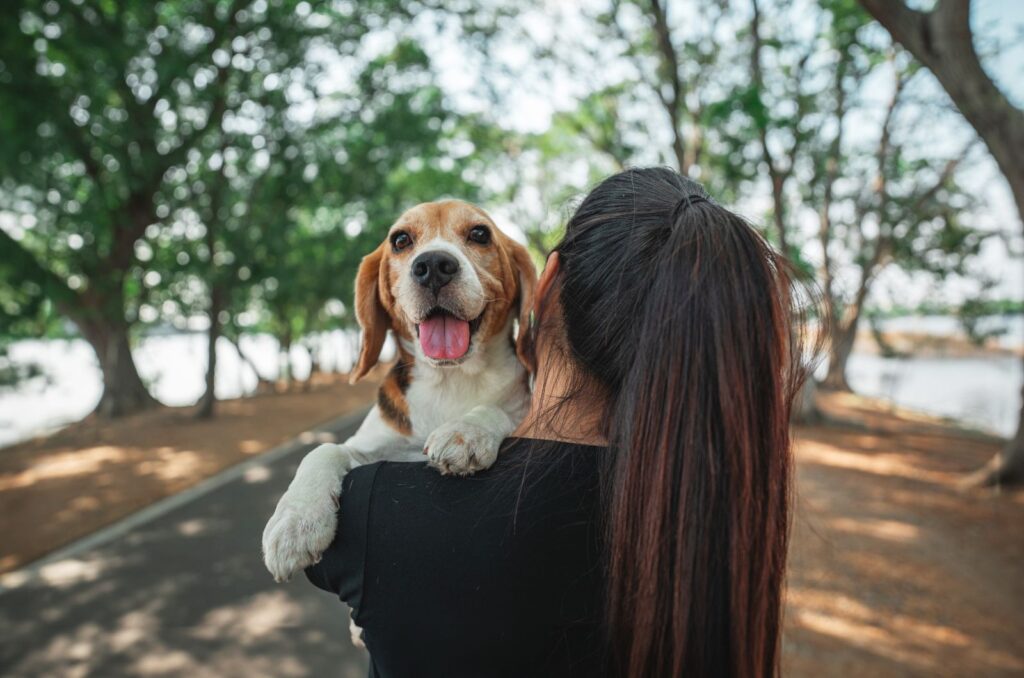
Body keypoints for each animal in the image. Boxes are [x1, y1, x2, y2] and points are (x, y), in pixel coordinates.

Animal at [262, 197, 536, 585]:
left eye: (480, 234)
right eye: (401, 240)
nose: (433, 266)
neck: (448, 380)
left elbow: (496, 410)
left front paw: (466, 432)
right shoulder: (373, 450)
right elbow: (323, 450)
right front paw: (296, 520)